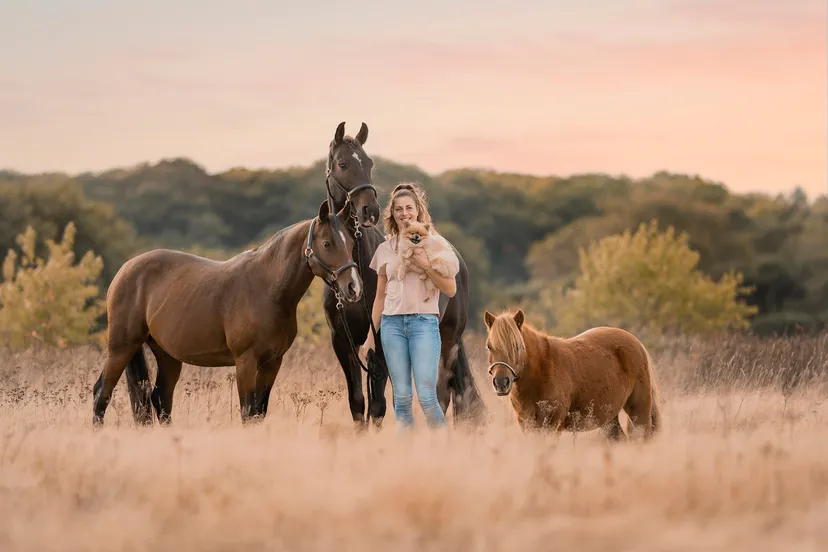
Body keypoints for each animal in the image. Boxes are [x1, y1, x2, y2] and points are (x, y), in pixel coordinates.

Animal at [316, 123, 486, 430]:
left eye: (369, 163)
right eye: (343, 164)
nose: (369, 210)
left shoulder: (380, 342)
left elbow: (379, 406)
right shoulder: (343, 342)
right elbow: (358, 403)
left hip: (448, 341)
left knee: (440, 394)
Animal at [482, 308, 664, 438]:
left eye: (517, 346)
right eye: (489, 346)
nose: (501, 383)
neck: (541, 372)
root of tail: (636, 342)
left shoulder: (552, 424)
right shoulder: (527, 424)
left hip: (638, 409)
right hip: (608, 418)